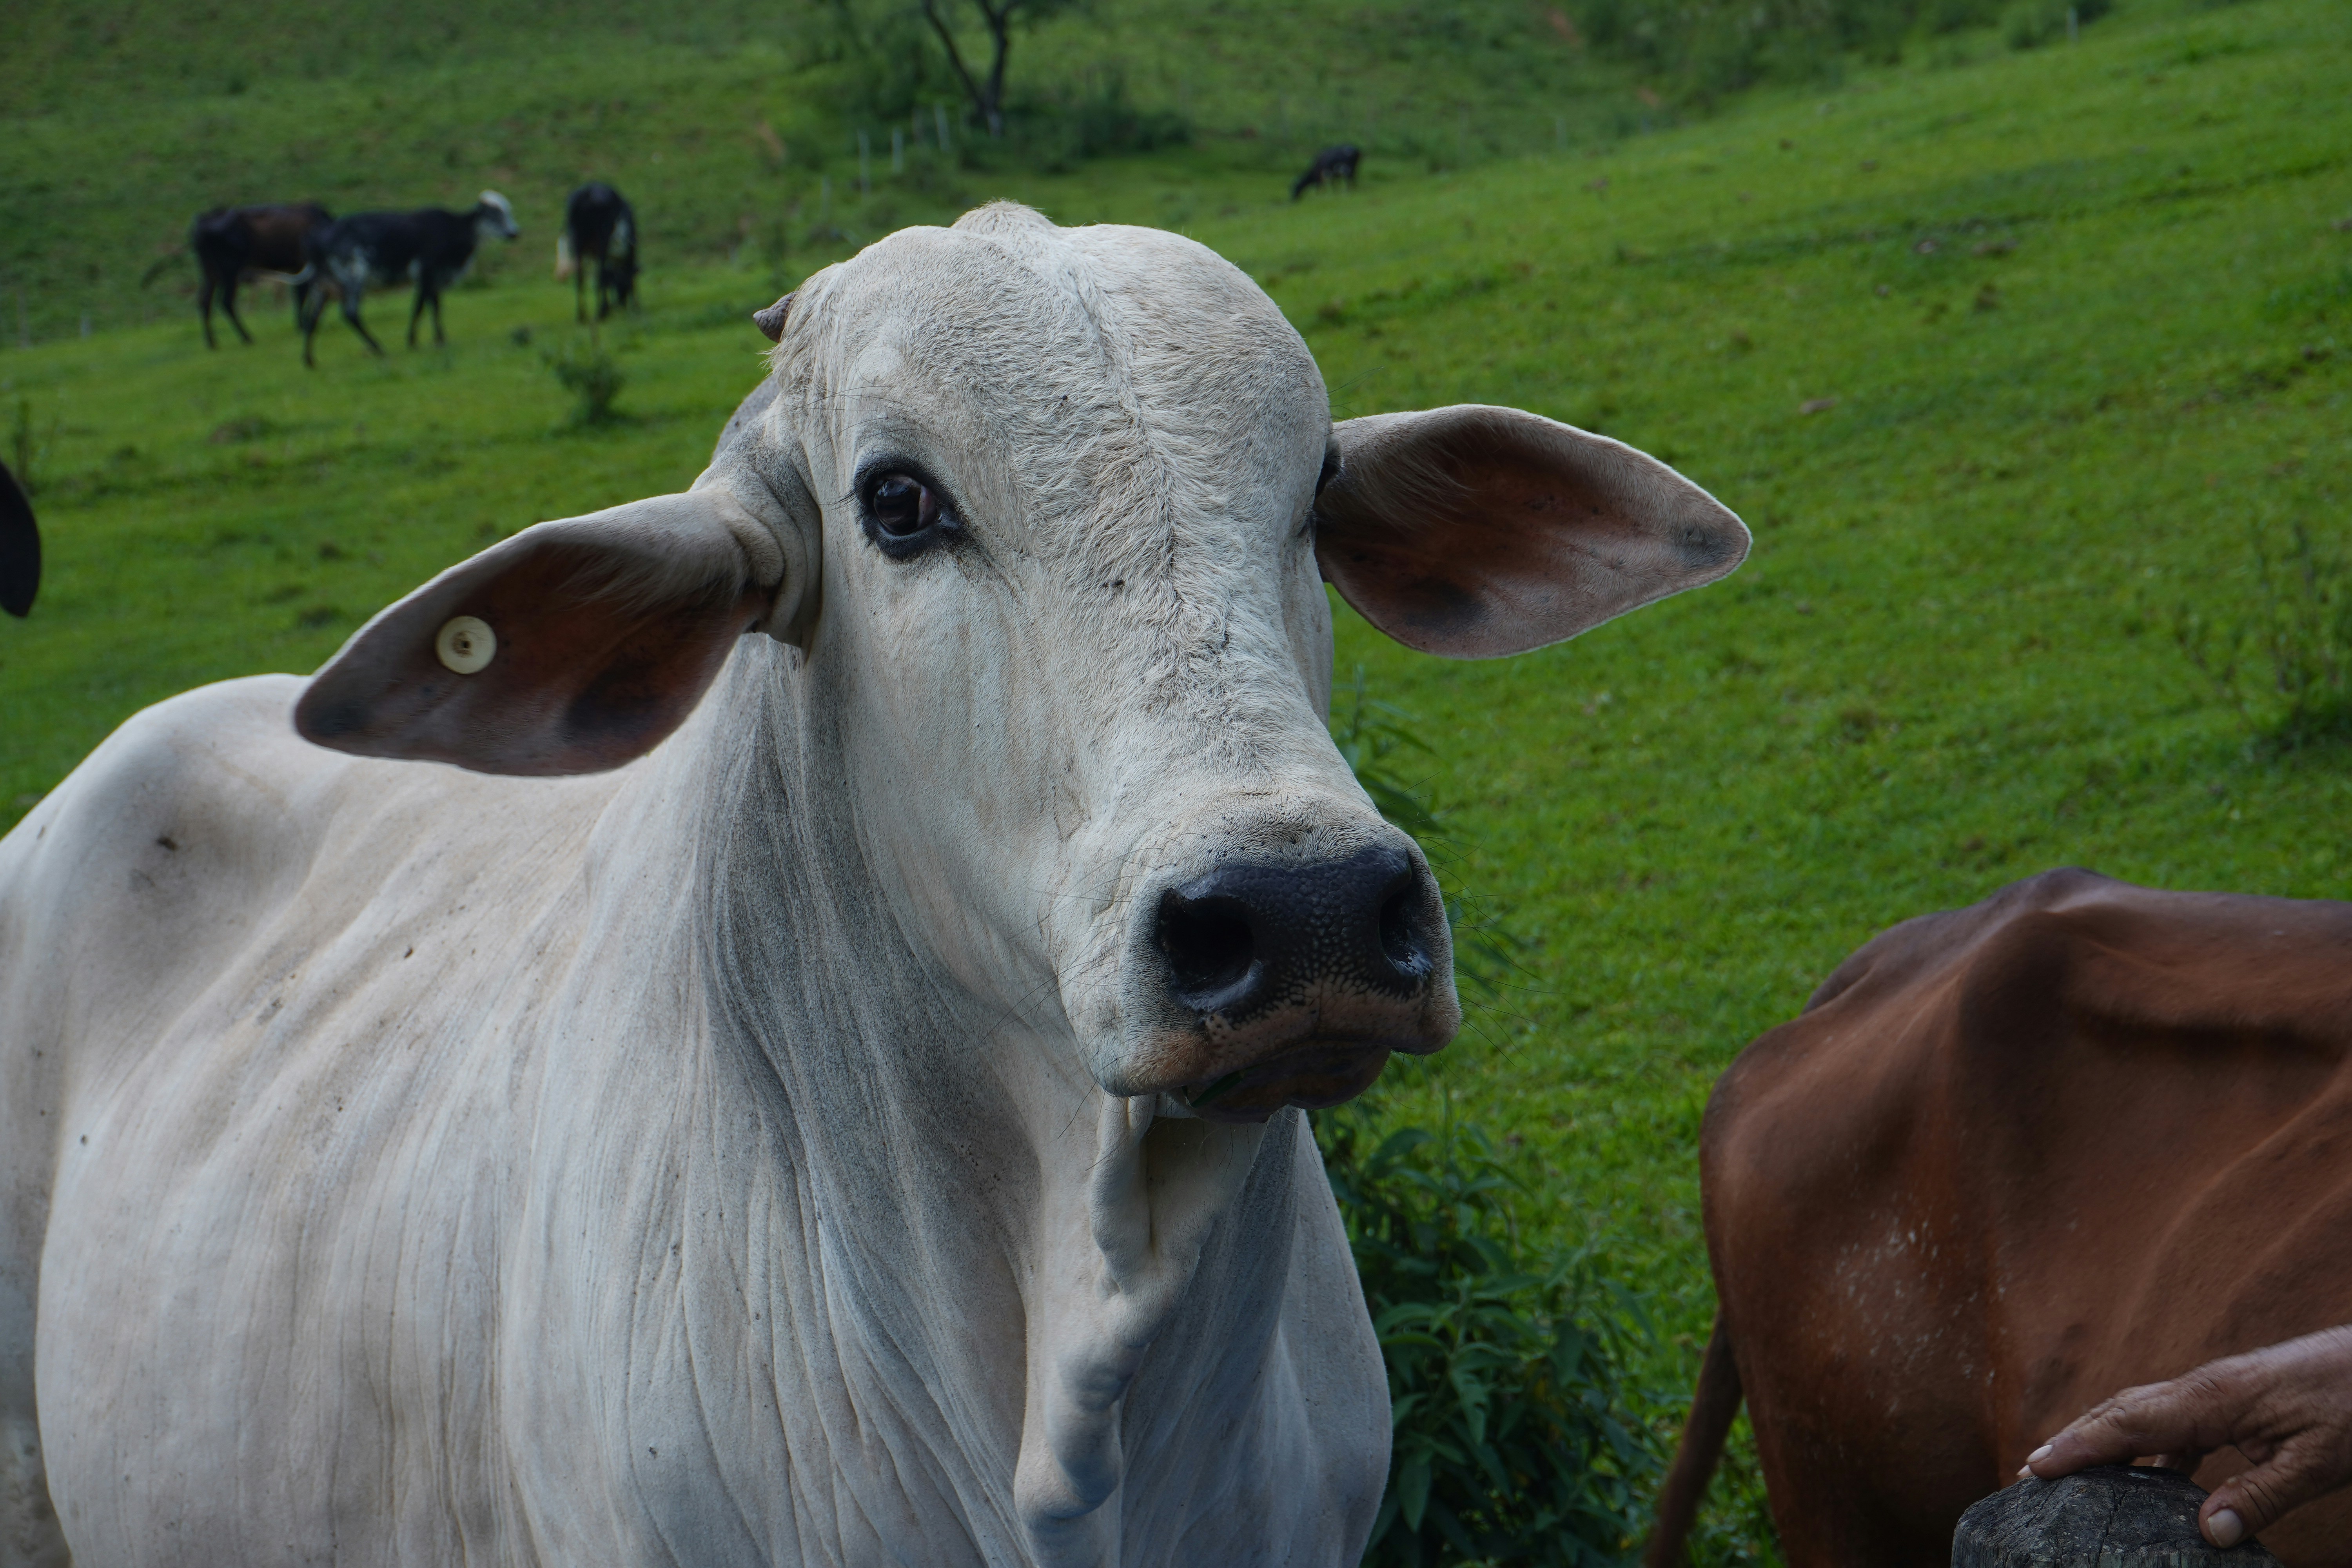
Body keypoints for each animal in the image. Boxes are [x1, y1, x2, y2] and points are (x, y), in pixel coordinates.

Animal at [179, 202, 333, 349]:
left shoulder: (296, 268)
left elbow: (298, 296)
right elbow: (301, 295)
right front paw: (304, 325)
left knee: (204, 301)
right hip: (230, 270)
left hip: (210, 272)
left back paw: (212, 343)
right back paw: (247, 337)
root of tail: (201, 223)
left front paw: (301, 324)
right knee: (226, 302)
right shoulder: (301, 263)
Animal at [298, 191, 520, 367]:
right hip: (355, 274)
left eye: (508, 211)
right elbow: (423, 307)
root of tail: (317, 239)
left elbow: (429, 306)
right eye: (494, 214)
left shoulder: (434, 280)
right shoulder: (427, 274)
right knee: (350, 313)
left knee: (313, 320)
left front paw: (429, 340)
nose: (514, 233)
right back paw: (378, 348)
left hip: (324, 287)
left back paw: (310, 360)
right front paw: (423, 341)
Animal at [557, 181, 640, 323]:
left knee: (580, 277)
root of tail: (588, 193)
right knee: (600, 275)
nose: (621, 304)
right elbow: (626, 277)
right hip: (602, 239)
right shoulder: (631, 251)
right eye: (623, 286)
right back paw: (601, 312)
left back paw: (582, 316)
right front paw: (635, 307)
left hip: (578, 241)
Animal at [1292, 145, 1361, 201]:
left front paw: (1319, 195)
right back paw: (1354, 189)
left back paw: (1347, 191)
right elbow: (1333, 184)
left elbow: (1320, 186)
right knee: (1354, 178)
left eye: (1295, 188)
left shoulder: (1324, 175)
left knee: (1348, 179)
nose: (1292, 200)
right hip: (1354, 168)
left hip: (1346, 168)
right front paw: (1334, 192)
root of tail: (1355, 149)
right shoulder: (1331, 175)